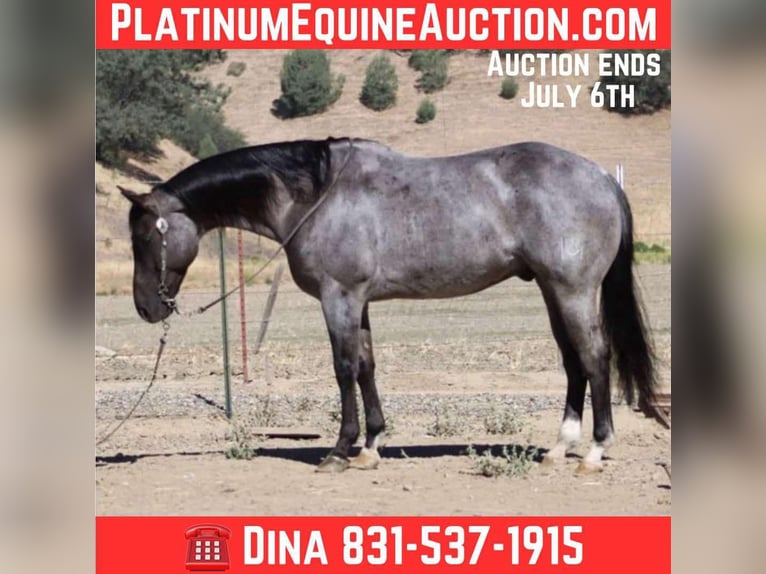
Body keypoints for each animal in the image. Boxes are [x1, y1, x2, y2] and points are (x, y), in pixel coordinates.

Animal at [120, 137, 656, 474]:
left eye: (144, 236)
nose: (146, 308)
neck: (315, 196)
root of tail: (602, 178)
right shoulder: (359, 302)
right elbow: (366, 366)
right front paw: (371, 445)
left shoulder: (338, 297)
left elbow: (342, 369)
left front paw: (340, 450)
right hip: (552, 290)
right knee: (573, 363)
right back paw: (559, 448)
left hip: (572, 290)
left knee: (594, 357)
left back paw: (594, 451)